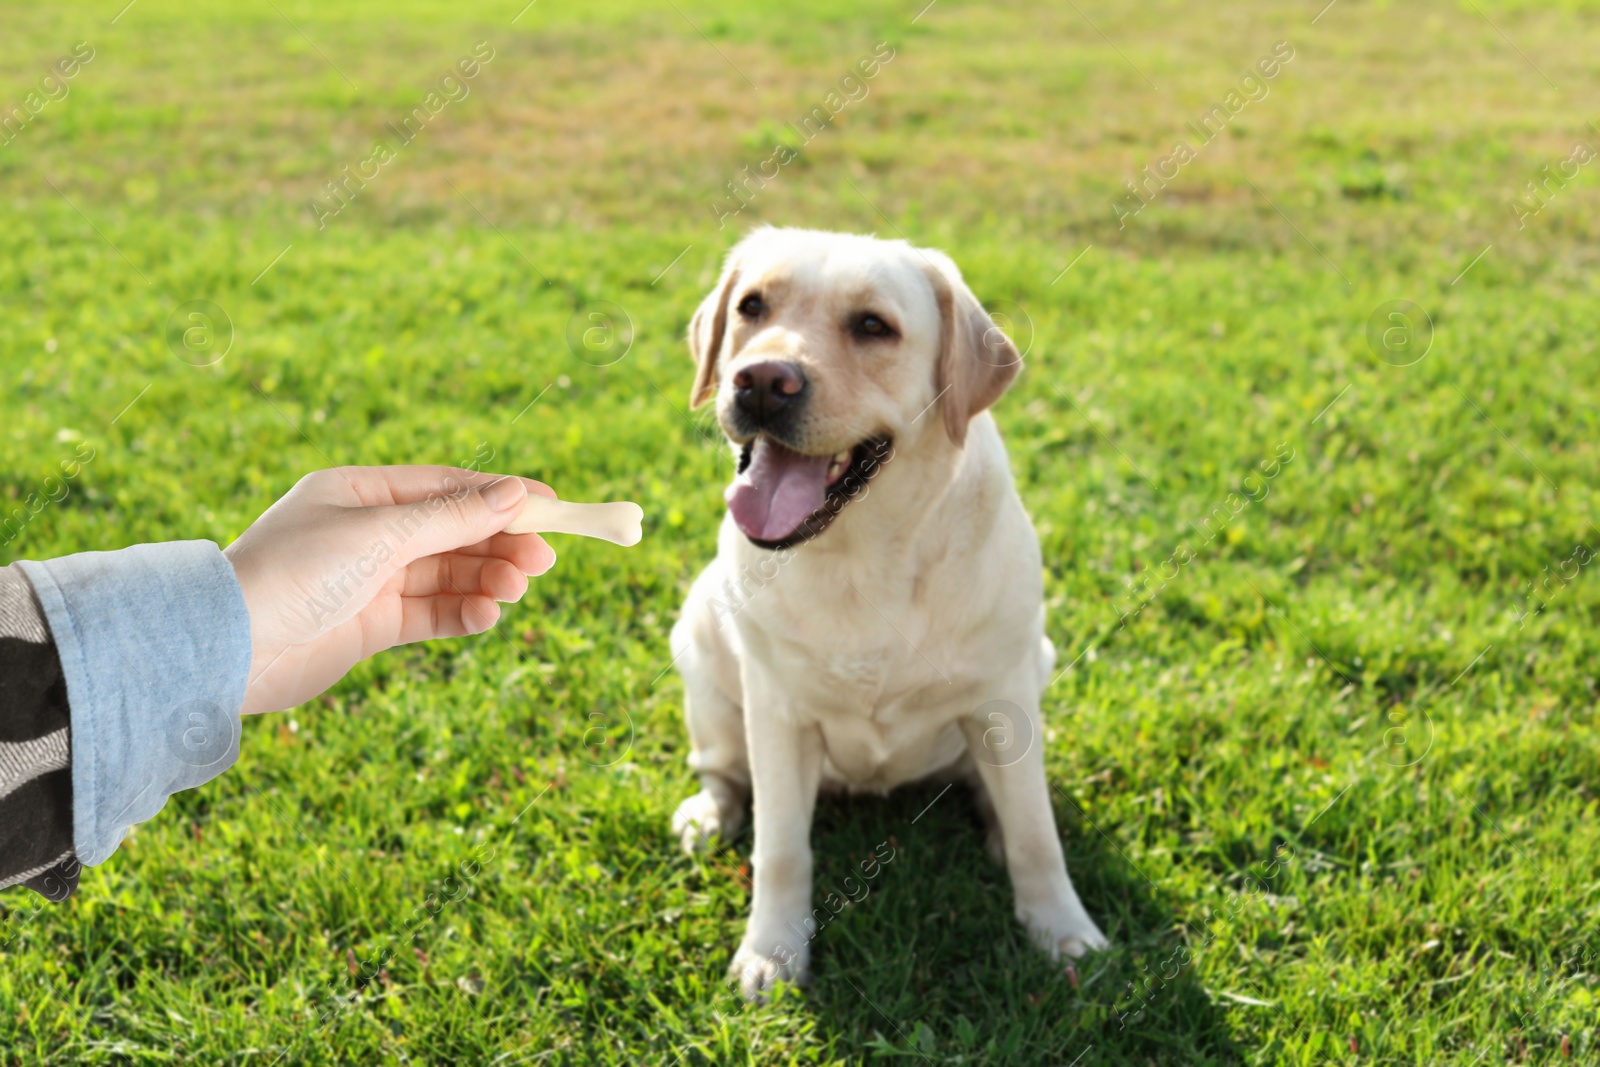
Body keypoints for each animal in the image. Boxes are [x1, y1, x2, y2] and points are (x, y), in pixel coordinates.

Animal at [668, 227, 1107, 1004]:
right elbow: (781, 847)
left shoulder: (1003, 695)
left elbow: (1035, 832)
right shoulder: (776, 713)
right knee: (721, 768)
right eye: (752, 306)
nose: (761, 381)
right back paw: (710, 812)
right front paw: (771, 953)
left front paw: (1061, 930)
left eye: (873, 326)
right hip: (700, 649)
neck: (860, 553)